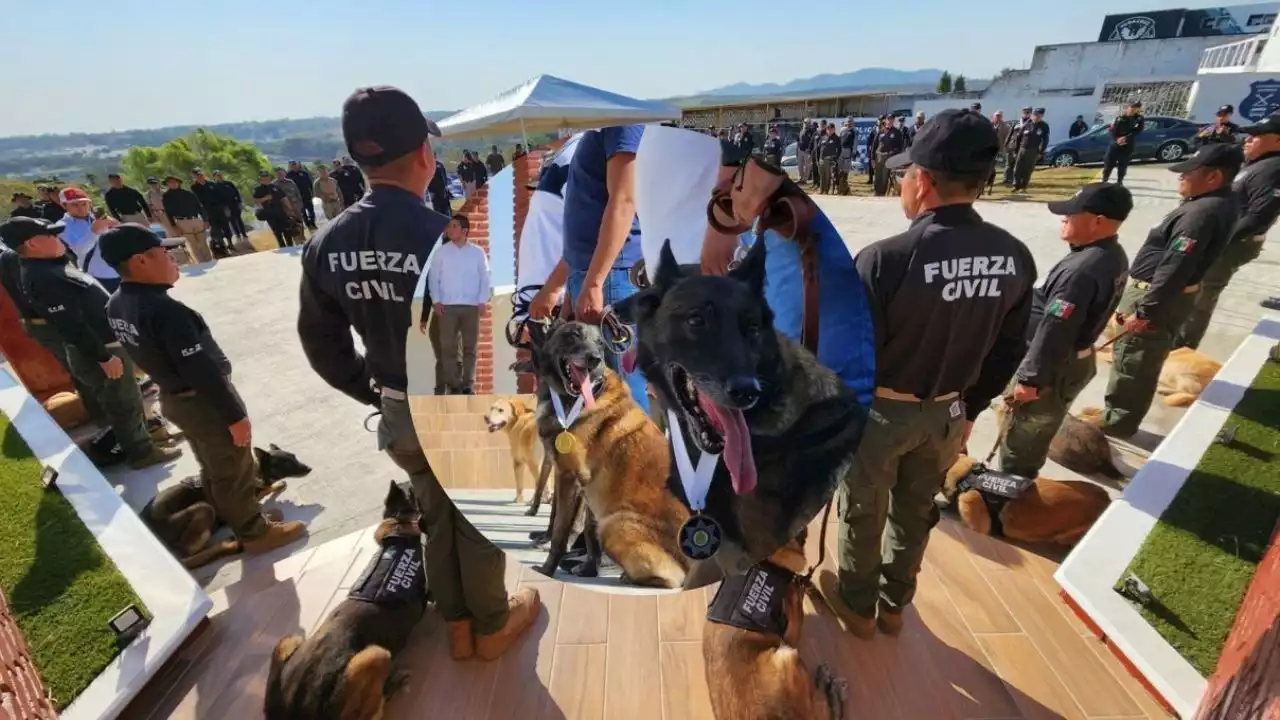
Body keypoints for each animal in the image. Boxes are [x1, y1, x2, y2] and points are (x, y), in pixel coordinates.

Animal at [140, 440, 312, 568]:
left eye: (294, 457)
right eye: (285, 463)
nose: (309, 468)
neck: (255, 474)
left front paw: (275, 487)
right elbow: (258, 503)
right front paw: (268, 509)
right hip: (204, 508)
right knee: (190, 554)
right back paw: (228, 544)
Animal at [264, 476, 424, 717]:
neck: (399, 522)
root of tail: (293, 711)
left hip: (289, 640)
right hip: (376, 655)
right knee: (374, 711)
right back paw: (392, 685)